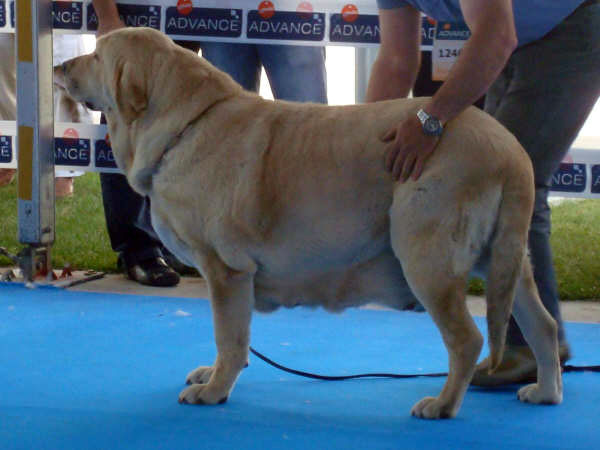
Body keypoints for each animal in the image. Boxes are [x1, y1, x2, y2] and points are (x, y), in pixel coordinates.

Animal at [56, 28, 564, 420]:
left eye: (96, 56)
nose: (60, 67)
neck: (186, 125)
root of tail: (510, 149)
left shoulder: (226, 270)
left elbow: (229, 337)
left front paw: (214, 389)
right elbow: (234, 341)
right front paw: (213, 374)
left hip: (426, 257)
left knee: (467, 338)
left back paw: (442, 405)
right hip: (505, 262)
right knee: (543, 326)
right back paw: (545, 391)